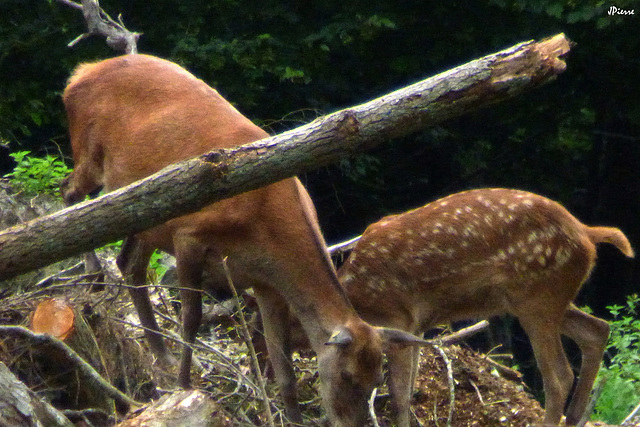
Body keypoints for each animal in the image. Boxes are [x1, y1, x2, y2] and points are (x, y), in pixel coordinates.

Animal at [60, 54, 424, 427]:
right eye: (348, 376)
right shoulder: (188, 234)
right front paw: (184, 387)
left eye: (376, 378)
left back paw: (161, 356)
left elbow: (283, 366)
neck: (265, 222)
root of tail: (80, 73)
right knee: (71, 194)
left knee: (129, 263)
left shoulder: (266, 284)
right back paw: (94, 276)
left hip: (144, 216)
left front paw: (292, 417)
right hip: (90, 154)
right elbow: (191, 318)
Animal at [338, 189, 632, 426]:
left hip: (536, 298)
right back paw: (575, 417)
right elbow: (409, 392)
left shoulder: (395, 317)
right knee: (597, 329)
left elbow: (399, 397)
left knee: (560, 376)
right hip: (539, 299)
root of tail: (586, 233)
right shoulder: (415, 327)